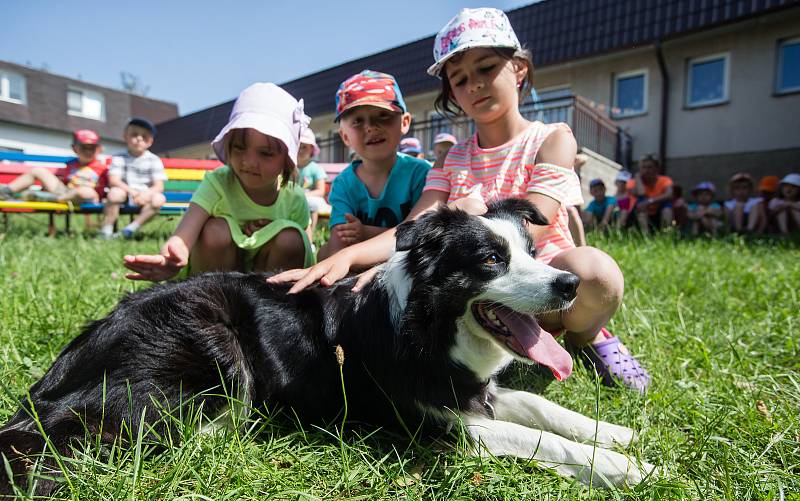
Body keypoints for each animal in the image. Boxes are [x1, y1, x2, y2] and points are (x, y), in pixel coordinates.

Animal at [0, 198, 648, 492]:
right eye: (492, 260)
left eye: (533, 252)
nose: (567, 284)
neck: (429, 325)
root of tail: (48, 388)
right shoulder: (437, 425)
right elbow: (535, 436)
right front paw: (624, 466)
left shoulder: (470, 392)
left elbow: (541, 407)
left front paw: (614, 434)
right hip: (213, 345)